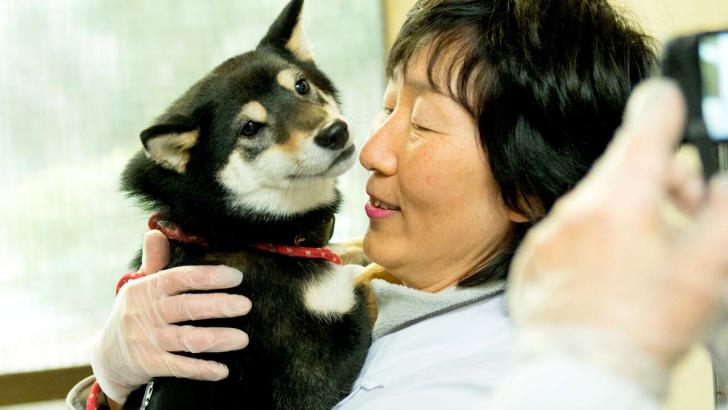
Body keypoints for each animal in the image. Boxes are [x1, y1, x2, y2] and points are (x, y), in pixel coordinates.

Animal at [118, 1, 372, 408]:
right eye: (249, 128)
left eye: (301, 86)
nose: (335, 132)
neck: (242, 234)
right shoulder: (311, 379)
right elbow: (357, 286)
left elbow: (345, 252)